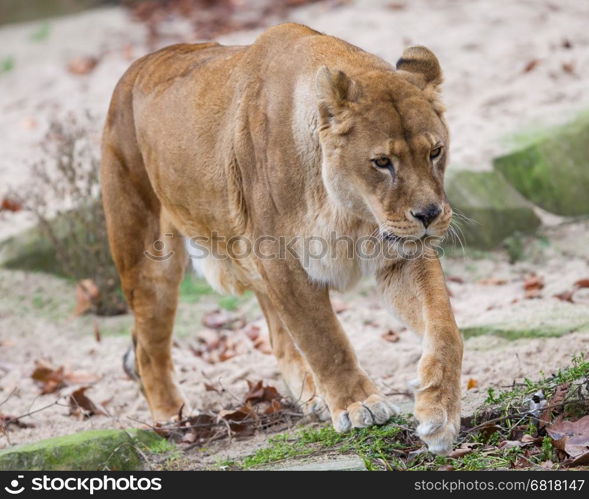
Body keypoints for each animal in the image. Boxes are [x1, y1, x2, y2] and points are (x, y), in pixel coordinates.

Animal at [102, 23, 464, 456]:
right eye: (382, 162)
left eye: (435, 151)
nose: (429, 215)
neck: (350, 212)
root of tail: (134, 69)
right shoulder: (283, 262)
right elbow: (325, 338)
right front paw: (358, 405)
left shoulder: (400, 253)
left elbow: (444, 327)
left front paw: (439, 411)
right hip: (147, 256)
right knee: (148, 345)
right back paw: (172, 417)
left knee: (276, 336)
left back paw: (313, 396)